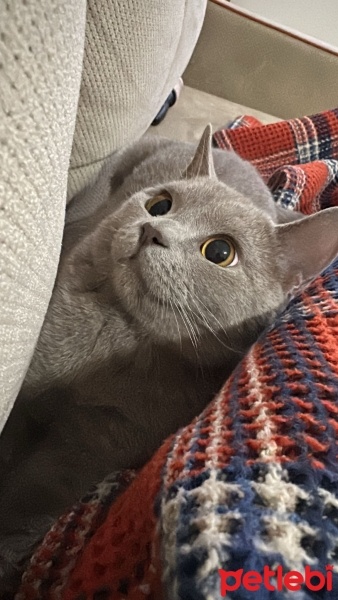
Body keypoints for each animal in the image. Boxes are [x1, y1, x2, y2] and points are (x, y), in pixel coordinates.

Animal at [0, 124, 338, 592]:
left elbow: (33, 492)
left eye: (220, 252)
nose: (150, 230)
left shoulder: (93, 448)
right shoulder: (32, 389)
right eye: (160, 204)